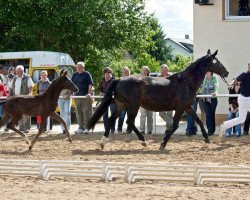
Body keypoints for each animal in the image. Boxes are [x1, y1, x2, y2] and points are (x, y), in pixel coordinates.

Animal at [87, 50, 229, 150]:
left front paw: (207, 140)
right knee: (129, 122)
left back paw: (103, 143)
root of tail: (119, 80)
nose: (226, 72)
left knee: (112, 120)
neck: (186, 82)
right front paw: (162, 144)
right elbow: (175, 125)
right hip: (133, 105)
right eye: (216, 61)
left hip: (121, 105)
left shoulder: (187, 107)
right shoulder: (180, 108)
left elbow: (198, 121)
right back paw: (143, 142)